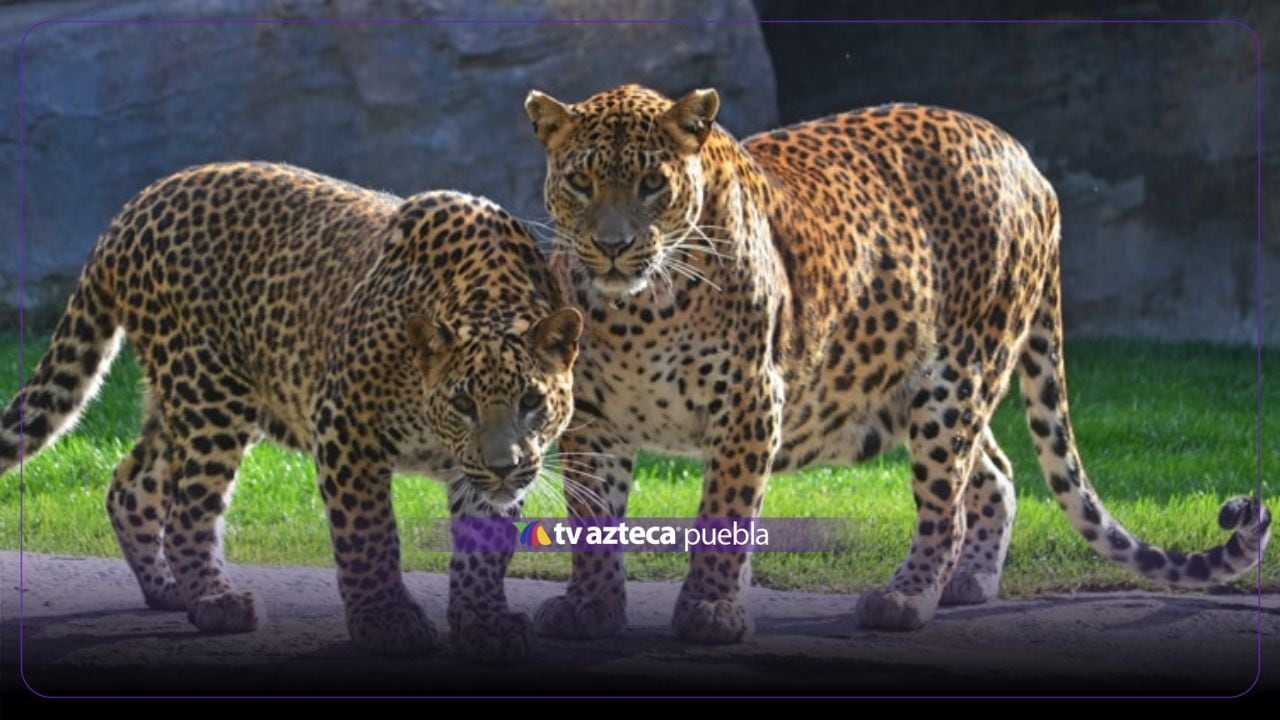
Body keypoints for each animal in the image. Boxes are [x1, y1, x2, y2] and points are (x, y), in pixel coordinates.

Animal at [0, 161, 583, 663]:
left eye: (531, 401)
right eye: (463, 404)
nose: (504, 467)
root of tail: (136, 205)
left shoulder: (482, 473)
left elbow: (483, 549)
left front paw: (484, 624)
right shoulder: (345, 426)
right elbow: (369, 535)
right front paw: (386, 623)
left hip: (187, 398)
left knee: (131, 486)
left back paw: (168, 589)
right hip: (210, 395)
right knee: (189, 511)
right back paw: (215, 603)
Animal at [522, 83, 1271, 644]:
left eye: (653, 183)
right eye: (581, 181)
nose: (612, 247)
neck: (639, 311)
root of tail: (1027, 162)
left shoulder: (750, 401)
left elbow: (725, 514)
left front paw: (709, 609)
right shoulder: (592, 419)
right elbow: (592, 518)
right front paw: (590, 607)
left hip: (956, 377)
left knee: (947, 502)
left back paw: (908, 599)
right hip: (929, 390)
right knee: (996, 471)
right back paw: (970, 583)